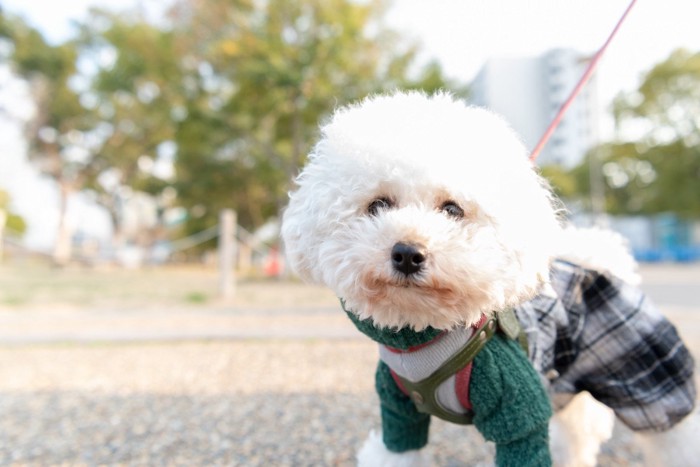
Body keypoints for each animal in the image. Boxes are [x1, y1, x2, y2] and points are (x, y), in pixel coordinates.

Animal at [282, 92, 696, 467]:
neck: (426, 335)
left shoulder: (519, 410)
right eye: (378, 205)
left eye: (452, 209)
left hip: (647, 379)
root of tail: (601, 262)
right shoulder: (398, 410)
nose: (408, 254)